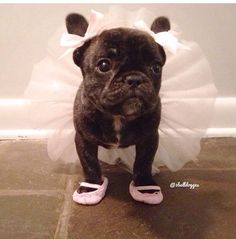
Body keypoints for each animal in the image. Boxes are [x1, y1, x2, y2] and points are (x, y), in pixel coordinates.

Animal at [65, 12, 171, 204]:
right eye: (104, 65)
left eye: (156, 67)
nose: (135, 78)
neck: (118, 116)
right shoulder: (84, 139)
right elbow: (90, 164)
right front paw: (91, 187)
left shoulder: (149, 138)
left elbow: (144, 163)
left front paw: (145, 186)